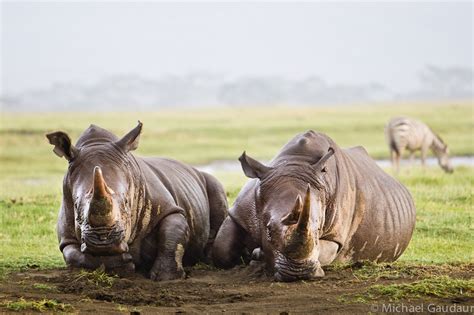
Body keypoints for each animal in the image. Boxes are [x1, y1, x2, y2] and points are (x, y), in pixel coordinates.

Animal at [46, 121, 228, 282]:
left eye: (126, 202)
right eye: (76, 206)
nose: (103, 242)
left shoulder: (170, 208)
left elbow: (172, 234)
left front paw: (166, 277)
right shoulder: (66, 236)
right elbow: (73, 255)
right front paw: (119, 265)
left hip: (208, 181)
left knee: (215, 190)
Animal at [213, 130, 416, 282]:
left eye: (318, 230)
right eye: (268, 229)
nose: (298, 273)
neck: (294, 163)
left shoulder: (336, 236)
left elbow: (325, 251)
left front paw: (257, 256)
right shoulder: (240, 213)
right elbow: (221, 249)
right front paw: (252, 255)